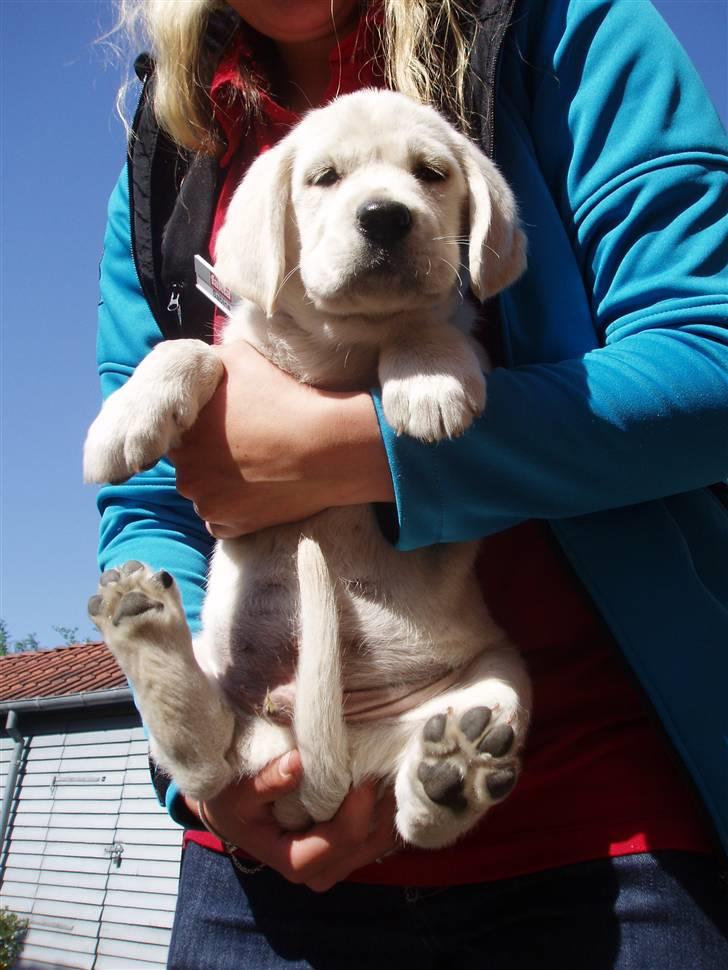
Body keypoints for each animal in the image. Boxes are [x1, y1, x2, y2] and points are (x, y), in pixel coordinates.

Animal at [85, 92, 528, 848]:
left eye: (432, 173)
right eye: (324, 177)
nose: (385, 216)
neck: (343, 347)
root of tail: (332, 750)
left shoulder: (465, 335)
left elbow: (423, 320)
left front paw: (426, 380)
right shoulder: (240, 350)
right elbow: (187, 350)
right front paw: (127, 417)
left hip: (502, 678)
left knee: (417, 815)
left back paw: (454, 777)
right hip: (225, 682)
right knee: (205, 758)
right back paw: (144, 629)